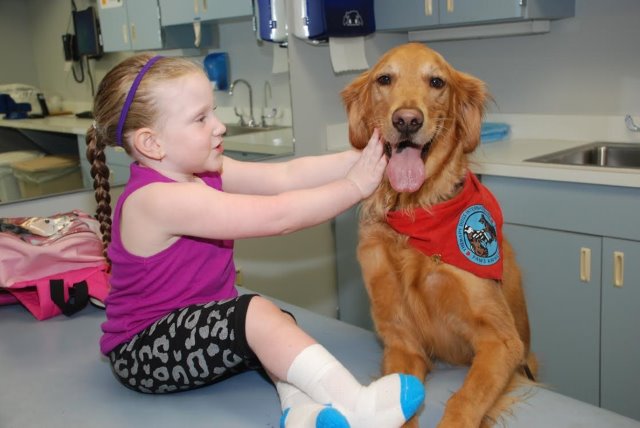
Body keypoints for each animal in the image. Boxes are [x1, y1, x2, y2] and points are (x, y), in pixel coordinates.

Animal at [341, 43, 536, 427]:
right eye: (384, 79)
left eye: (436, 82)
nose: (407, 120)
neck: (416, 213)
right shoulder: (402, 341)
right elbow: (399, 401)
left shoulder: (503, 341)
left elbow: (463, 400)